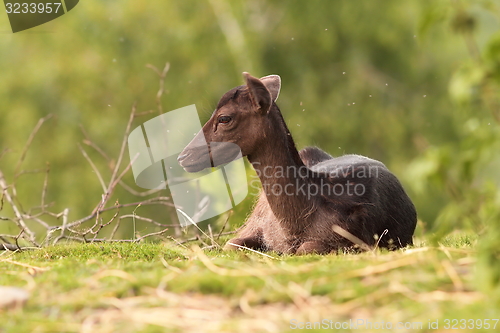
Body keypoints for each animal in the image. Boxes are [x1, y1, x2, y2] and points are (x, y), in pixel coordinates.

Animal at [178, 72, 416, 254]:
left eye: (224, 118)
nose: (183, 157)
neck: (292, 226)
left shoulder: (355, 235)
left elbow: (306, 248)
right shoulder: (255, 224)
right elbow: (231, 243)